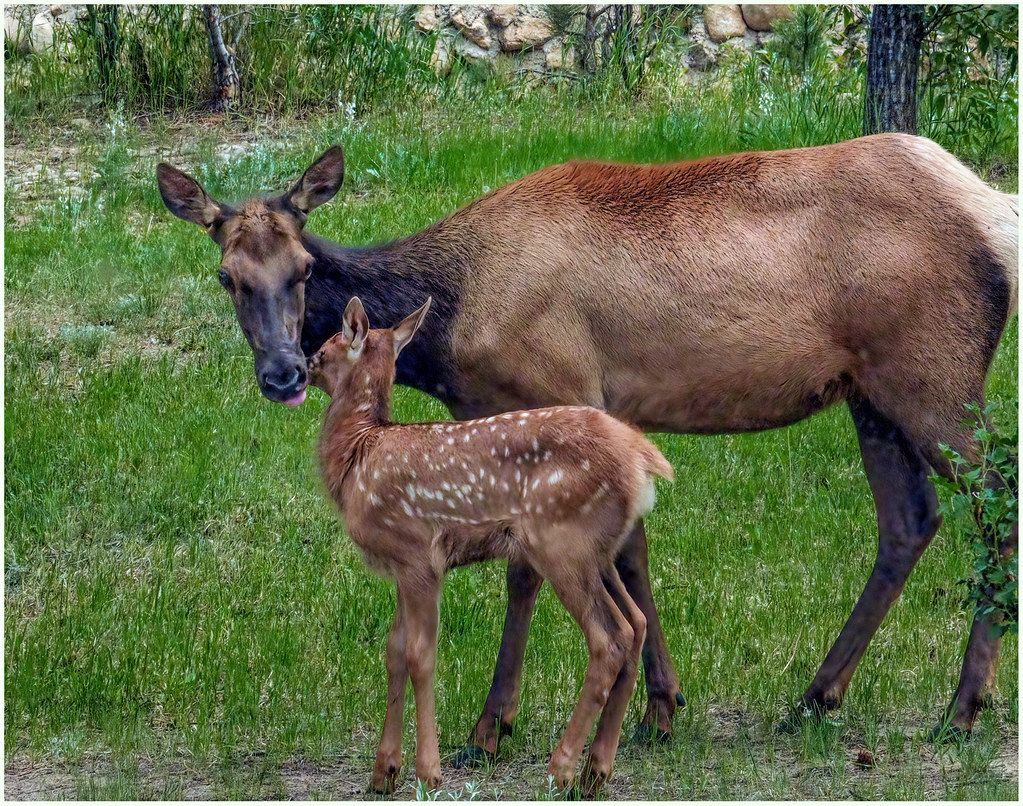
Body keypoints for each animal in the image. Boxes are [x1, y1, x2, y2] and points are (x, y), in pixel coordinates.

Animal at [307, 294, 673, 794]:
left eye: (325, 348)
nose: (304, 366)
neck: (361, 453)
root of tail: (644, 460)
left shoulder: (420, 556)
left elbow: (421, 655)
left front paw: (428, 773)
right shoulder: (401, 567)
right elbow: (394, 652)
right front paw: (383, 773)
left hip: (561, 543)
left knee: (610, 638)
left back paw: (560, 769)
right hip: (596, 551)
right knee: (635, 623)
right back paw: (594, 774)